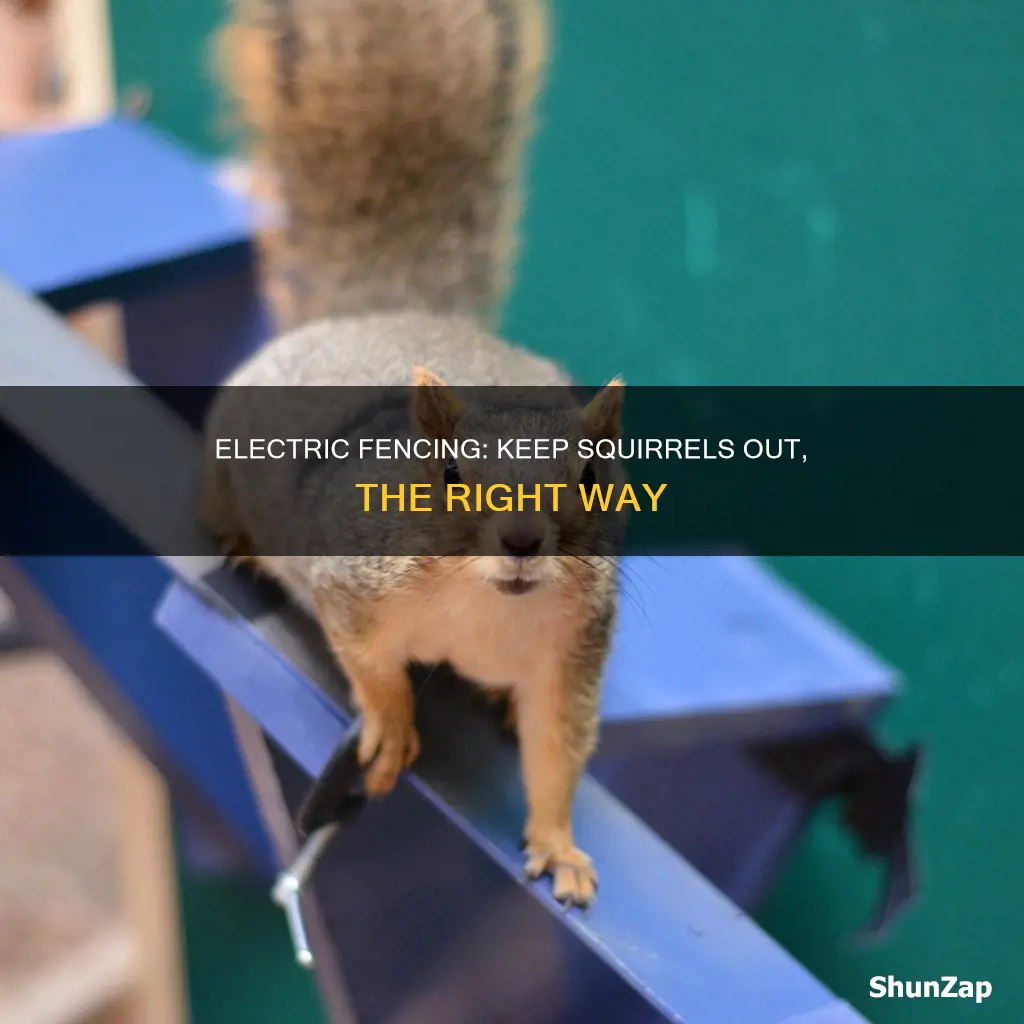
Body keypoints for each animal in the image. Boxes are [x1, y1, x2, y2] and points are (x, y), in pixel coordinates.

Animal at [202, 0, 624, 907]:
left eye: (591, 477)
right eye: (451, 474)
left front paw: (560, 844)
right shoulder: (352, 584)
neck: (487, 610)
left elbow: (557, 752)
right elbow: (371, 667)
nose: (522, 542)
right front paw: (393, 727)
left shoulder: (571, 658)